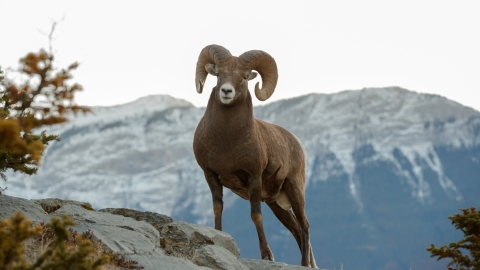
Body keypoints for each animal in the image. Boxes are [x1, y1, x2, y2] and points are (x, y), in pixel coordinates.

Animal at [193, 44, 316, 268]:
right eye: (219, 74)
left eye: (243, 77)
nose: (226, 91)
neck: (226, 141)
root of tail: (296, 142)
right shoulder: (211, 175)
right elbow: (217, 208)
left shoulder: (254, 178)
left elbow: (256, 216)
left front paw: (267, 255)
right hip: (276, 203)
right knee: (295, 228)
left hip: (294, 189)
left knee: (304, 225)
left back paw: (304, 264)